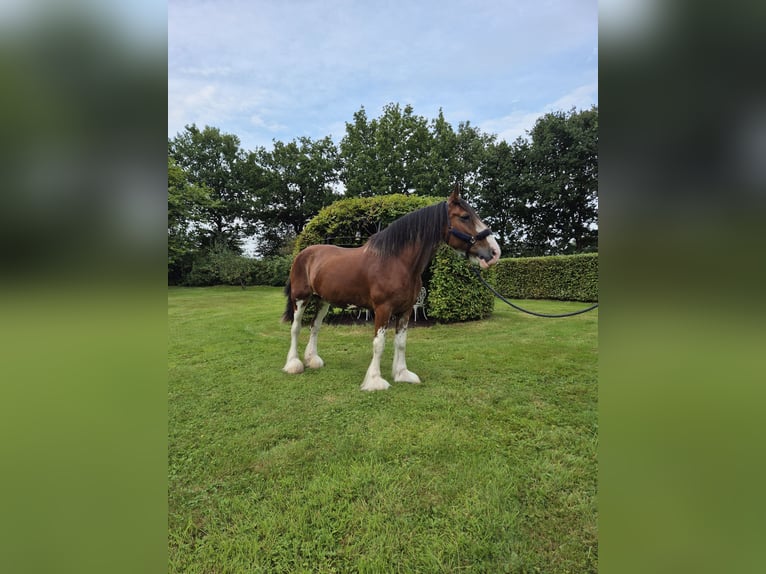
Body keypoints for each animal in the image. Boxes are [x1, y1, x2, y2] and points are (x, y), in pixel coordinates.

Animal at [284, 188, 504, 392]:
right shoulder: (382, 309)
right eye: (465, 216)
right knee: (296, 328)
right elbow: (379, 344)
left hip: (323, 301)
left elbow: (401, 342)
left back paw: (313, 360)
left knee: (314, 327)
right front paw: (375, 381)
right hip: (301, 299)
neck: (397, 262)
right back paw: (294, 364)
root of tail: (304, 253)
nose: (494, 252)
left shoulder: (405, 310)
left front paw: (402, 374)